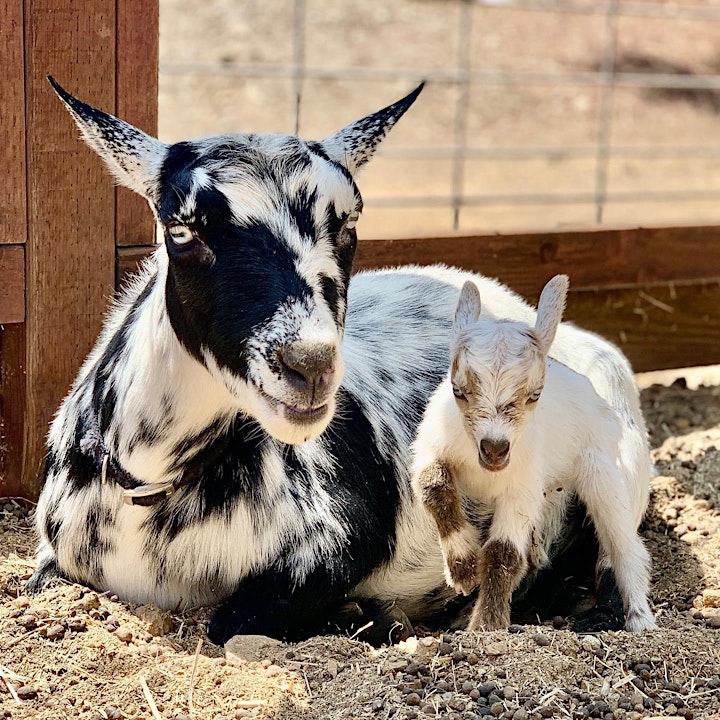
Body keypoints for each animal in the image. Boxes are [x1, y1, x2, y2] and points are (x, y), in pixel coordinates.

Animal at [410, 276, 660, 632]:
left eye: (535, 394)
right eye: (458, 390)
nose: (495, 449)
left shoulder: (522, 488)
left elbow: (502, 554)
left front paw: (487, 626)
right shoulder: (431, 449)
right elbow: (432, 485)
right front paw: (463, 568)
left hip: (605, 475)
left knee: (624, 547)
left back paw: (640, 620)